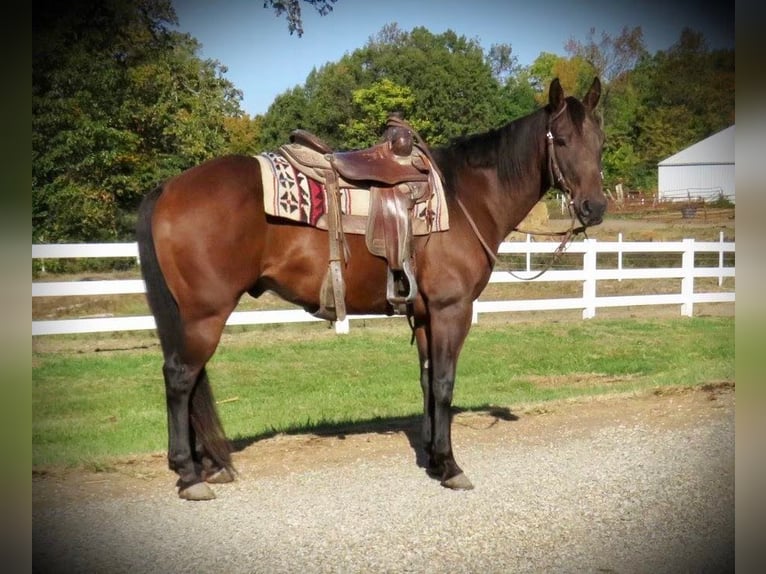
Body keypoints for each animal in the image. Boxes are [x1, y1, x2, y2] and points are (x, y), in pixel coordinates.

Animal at [135, 77, 608, 504]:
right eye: (563, 140)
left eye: (600, 144)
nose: (595, 207)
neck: (465, 198)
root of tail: (169, 187)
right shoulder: (451, 310)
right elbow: (445, 383)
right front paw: (451, 466)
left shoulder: (425, 315)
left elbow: (427, 380)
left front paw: (433, 459)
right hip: (205, 314)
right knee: (180, 378)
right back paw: (188, 474)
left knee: (191, 380)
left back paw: (205, 465)